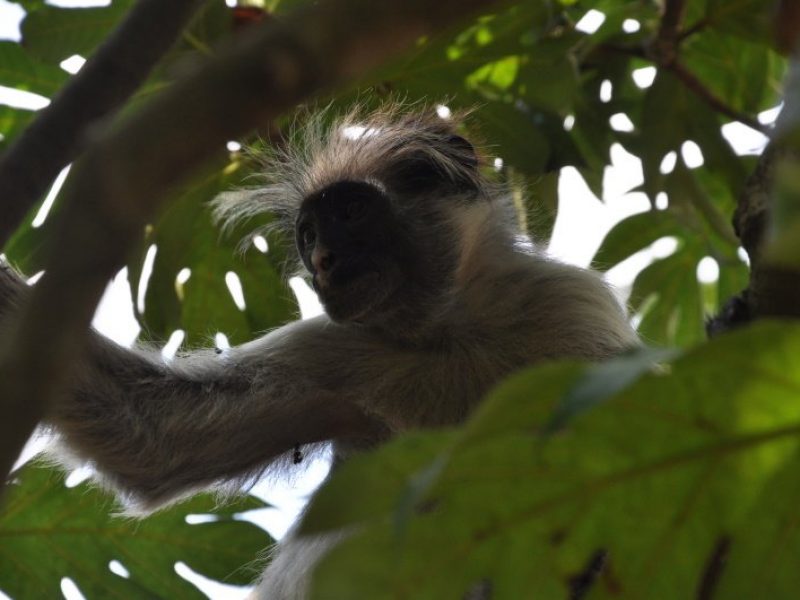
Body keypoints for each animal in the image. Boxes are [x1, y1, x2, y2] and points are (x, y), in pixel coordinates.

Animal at [1, 105, 636, 596]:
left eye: (350, 212)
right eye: (308, 235)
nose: (324, 261)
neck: (448, 332)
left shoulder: (572, 308)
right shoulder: (336, 347)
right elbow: (153, 437)